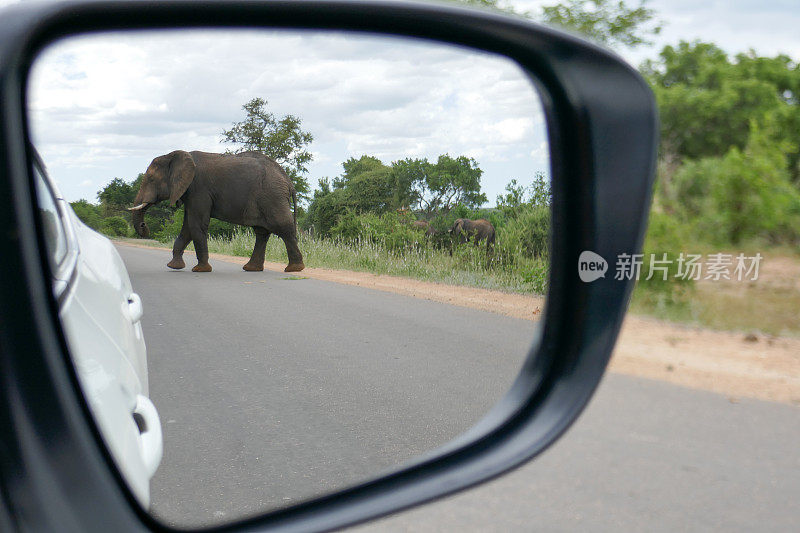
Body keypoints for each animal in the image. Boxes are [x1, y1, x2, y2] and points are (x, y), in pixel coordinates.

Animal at [130, 152, 304, 272]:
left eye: (151, 179)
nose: (144, 226)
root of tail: (288, 180)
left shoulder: (198, 189)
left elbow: (196, 225)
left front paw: (200, 270)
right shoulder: (190, 193)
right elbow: (188, 227)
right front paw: (174, 266)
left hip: (272, 197)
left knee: (283, 228)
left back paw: (294, 269)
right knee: (262, 232)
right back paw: (251, 269)